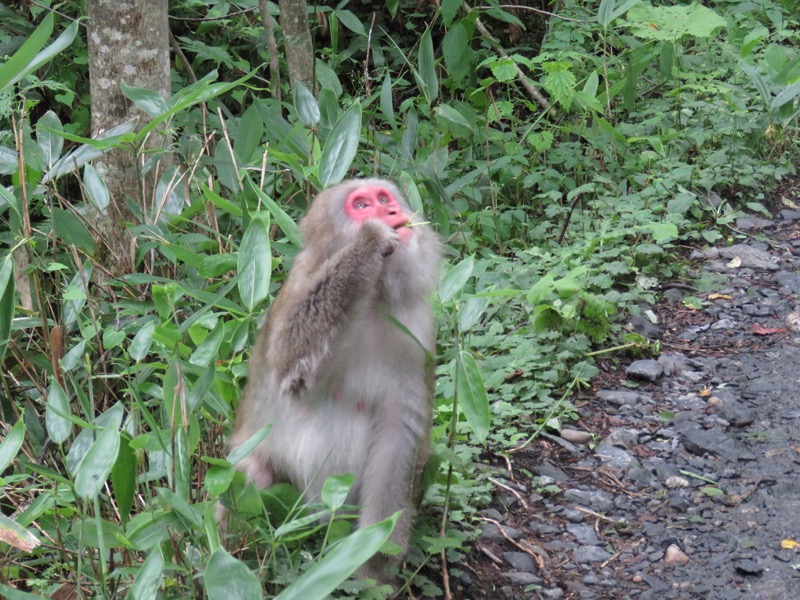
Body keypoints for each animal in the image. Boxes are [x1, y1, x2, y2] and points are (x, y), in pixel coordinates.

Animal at [228, 176, 440, 580]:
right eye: (361, 205)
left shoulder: (418, 334)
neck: (374, 300)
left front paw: (375, 562)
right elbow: (289, 361)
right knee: (248, 475)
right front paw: (368, 241)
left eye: (385, 198)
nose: (392, 211)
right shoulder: (300, 286)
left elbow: (397, 434)